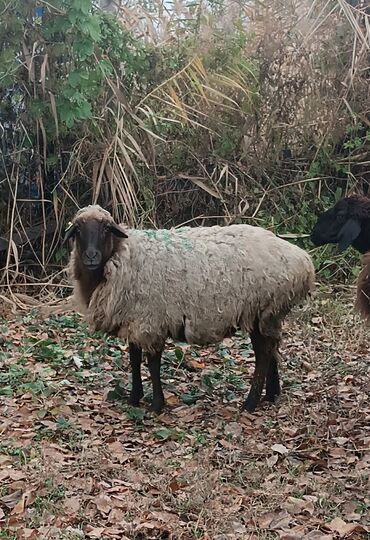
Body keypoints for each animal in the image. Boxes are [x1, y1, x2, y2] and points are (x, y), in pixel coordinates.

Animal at [65, 205, 314, 412]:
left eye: (106, 229)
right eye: (77, 230)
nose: (90, 257)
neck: (123, 254)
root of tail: (303, 260)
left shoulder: (151, 321)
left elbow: (152, 363)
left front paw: (156, 404)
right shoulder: (133, 320)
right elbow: (134, 359)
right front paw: (135, 398)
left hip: (266, 307)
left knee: (263, 353)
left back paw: (250, 403)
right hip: (261, 314)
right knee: (270, 348)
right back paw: (271, 394)